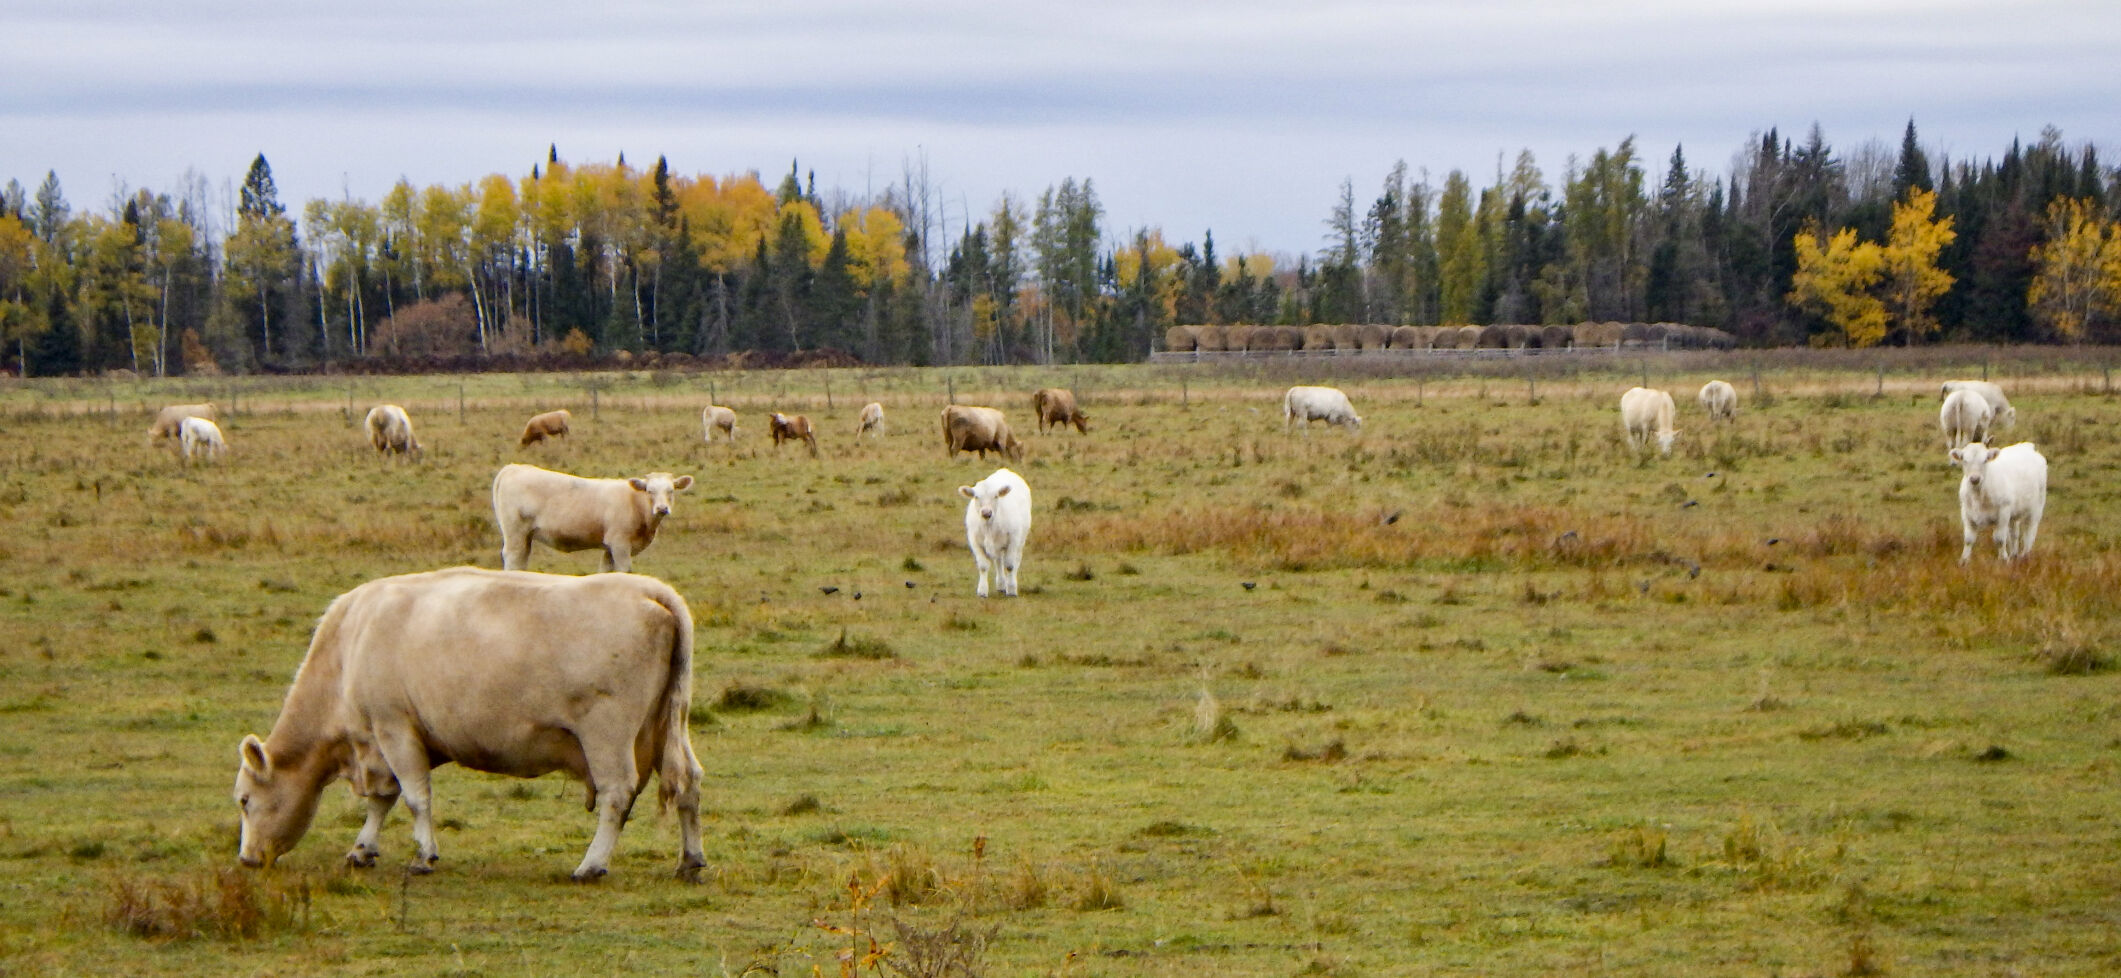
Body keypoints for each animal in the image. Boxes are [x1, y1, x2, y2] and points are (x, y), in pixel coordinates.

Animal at [231, 567, 705, 881]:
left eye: (244, 800)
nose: (248, 858)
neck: (349, 645)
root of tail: (650, 589)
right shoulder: (383, 744)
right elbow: (384, 800)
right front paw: (363, 849)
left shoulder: (394, 729)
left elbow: (414, 797)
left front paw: (423, 855)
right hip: (666, 728)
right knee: (689, 783)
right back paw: (690, 859)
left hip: (607, 735)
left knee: (616, 794)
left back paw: (591, 865)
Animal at [492, 463, 694, 573]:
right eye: (649, 491)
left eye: (671, 491)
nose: (662, 508)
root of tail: (514, 467)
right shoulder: (620, 544)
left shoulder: (609, 547)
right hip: (515, 533)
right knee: (513, 559)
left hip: (525, 537)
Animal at [959, 468, 1032, 598]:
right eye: (976, 496)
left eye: (996, 496)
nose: (986, 513)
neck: (989, 527)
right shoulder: (974, 541)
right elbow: (983, 566)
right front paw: (982, 591)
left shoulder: (1013, 539)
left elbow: (1010, 565)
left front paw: (1011, 589)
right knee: (999, 561)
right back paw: (1001, 585)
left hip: (1021, 539)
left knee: (1016, 560)